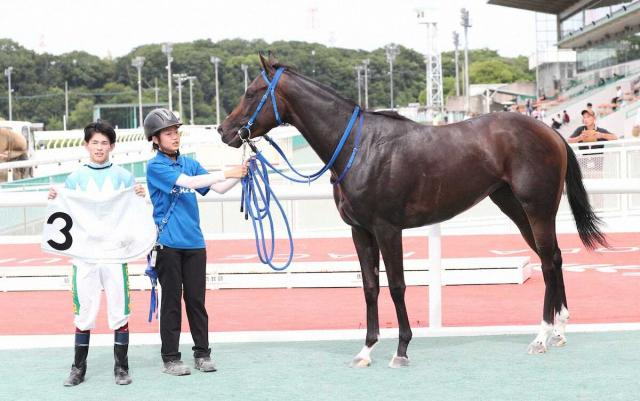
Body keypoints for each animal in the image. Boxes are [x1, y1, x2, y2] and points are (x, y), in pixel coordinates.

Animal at [218, 54, 608, 368]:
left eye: (252, 92)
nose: (224, 131)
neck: (360, 147)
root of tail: (551, 133)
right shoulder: (360, 231)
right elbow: (370, 287)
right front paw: (366, 350)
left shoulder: (387, 228)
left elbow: (397, 286)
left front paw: (401, 350)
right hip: (516, 209)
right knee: (553, 258)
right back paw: (559, 330)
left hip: (537, 209)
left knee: (547, 263)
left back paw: (541, 336)